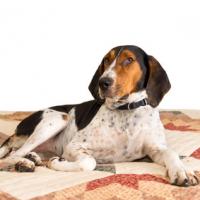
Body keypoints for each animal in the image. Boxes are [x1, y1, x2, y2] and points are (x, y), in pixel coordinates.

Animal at [0, 45, 199, 186]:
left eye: (129, 60)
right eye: (106, 60)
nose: (103, 82)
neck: (126, 111)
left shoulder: (155, 150)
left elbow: (171, 153)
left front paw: (182, 172)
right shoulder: (74, 147)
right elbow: (90, 163)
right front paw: (57, 163)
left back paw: (31, 159)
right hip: (58, 118)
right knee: (11, 154)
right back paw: (24, 163)